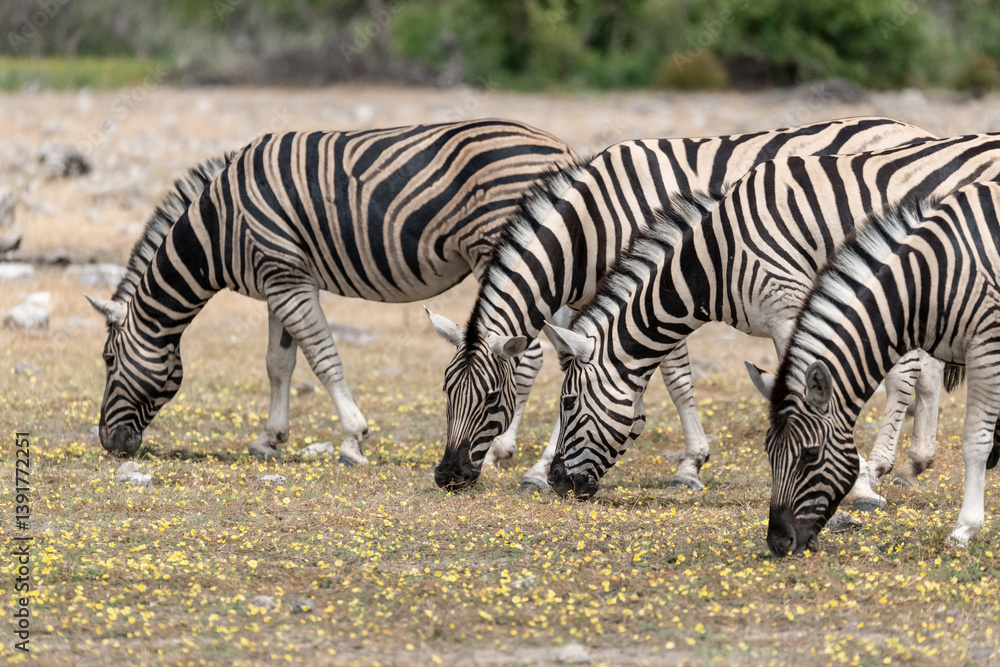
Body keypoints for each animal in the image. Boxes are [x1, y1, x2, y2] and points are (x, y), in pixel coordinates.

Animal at [86, 120, 579, 464]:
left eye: (108, 360)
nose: (109, 442)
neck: (217, 228)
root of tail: (563, 149)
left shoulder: (287, 279)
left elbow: (323, 358)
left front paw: (353, 440)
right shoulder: (278, 282)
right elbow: (278, 363)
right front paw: (270, 439)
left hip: (506, 253)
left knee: (529, 353)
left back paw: (498, 447)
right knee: (569, 349)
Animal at [426, 117, 936, 491]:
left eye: (493, 397)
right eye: (446, 391)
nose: (448, 475)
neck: (591, 224)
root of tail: (914, 131)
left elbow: (673, 377)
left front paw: (690, 463)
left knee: (907, 373)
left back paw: (880, 469)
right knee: (927, 370)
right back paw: (915, 462)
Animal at [765, 181, 1000, 555]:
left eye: (810, 455)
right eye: (768, 454)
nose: (777, 542)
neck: (928, 280)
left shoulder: (986, 346)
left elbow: (975, 441)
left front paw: (965, 529)